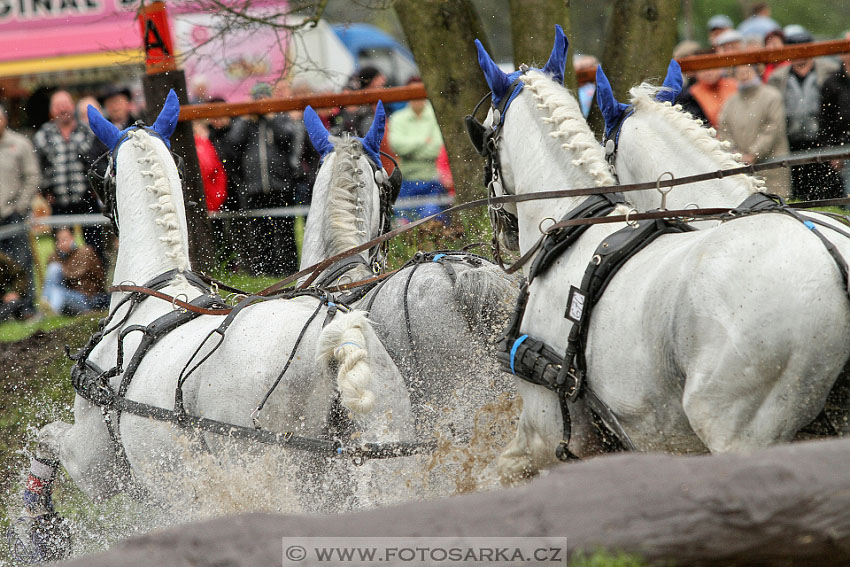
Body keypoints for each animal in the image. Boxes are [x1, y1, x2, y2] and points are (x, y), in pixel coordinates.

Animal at [11, 91, 412, 560]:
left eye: (98, 175)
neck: (157, 287)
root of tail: (333, 335)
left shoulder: (97, 469)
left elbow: (45, 438)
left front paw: (38, 528)